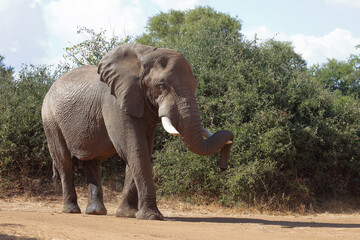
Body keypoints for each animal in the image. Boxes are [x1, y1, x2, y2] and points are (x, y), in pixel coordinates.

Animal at [41, 42, 233, 219]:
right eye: (162, 85)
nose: (223, 167)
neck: (143, 56)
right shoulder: (115, 102)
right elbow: (134, 148)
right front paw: (152, 217)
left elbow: (142, 151)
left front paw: (127, 214)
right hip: (50, 120)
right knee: (64, 163)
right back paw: (71, 211)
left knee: (92, 163)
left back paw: (96, 212)